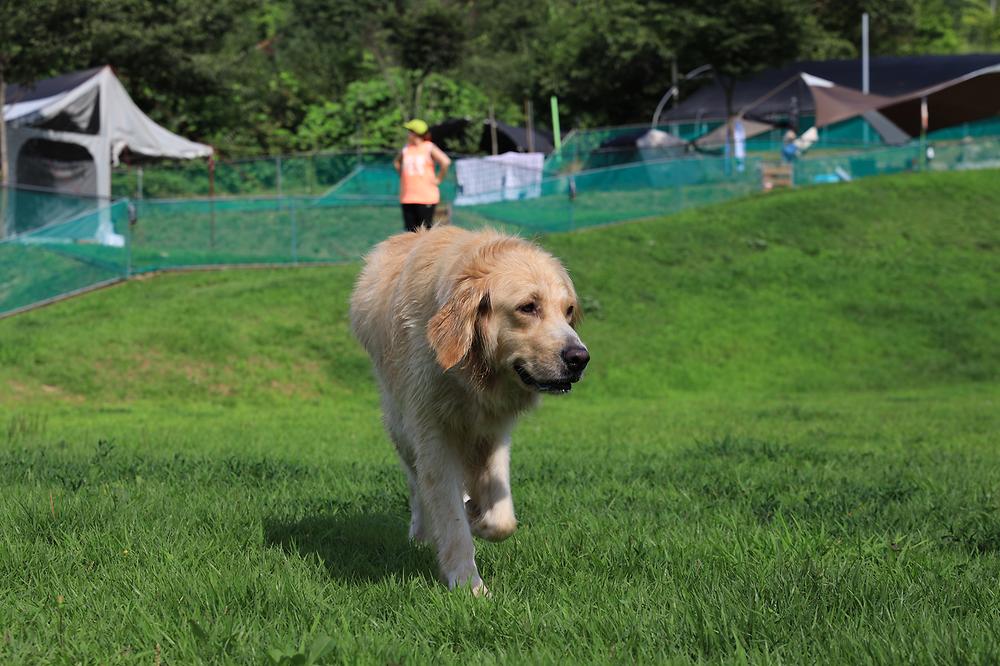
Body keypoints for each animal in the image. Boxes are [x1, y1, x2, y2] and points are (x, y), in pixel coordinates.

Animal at [350, 223, 588, 592]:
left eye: (568, 311)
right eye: (528, 307)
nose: (580, 358)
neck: (471, 375)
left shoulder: (494, 430)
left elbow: (502, 517)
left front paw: (479, 517)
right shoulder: (433, 433)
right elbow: (449, 517)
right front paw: (468, 586)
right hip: (401, 426)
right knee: (416, 482)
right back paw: (422, 530)